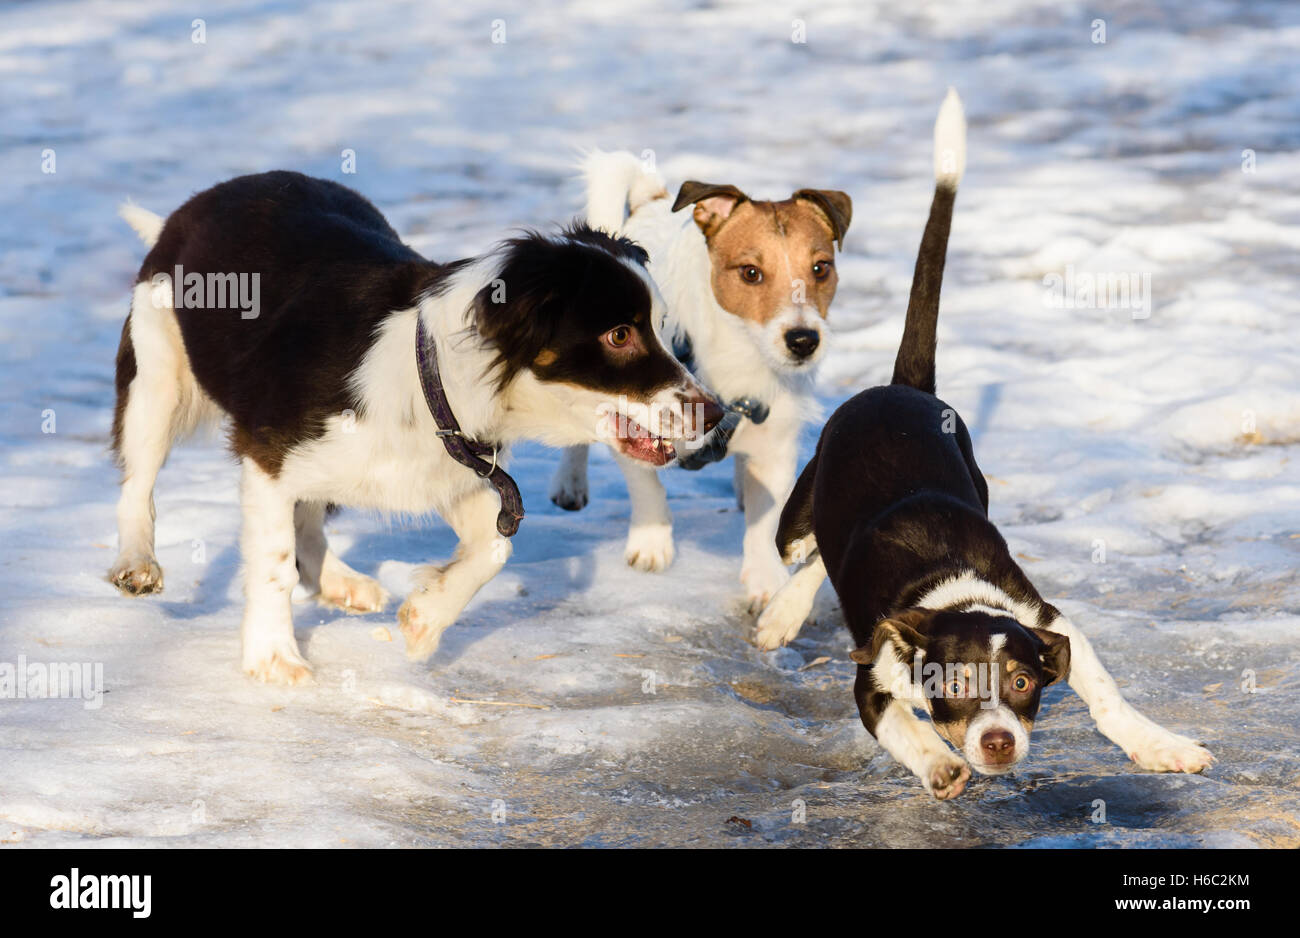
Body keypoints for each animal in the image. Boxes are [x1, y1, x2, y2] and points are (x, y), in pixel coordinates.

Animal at [109, 170, 722, 680]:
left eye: (663, 328)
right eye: (620, 335)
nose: (714, 412)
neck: (435, 376)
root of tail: (193, 206)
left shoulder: (454, 466)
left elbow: (495, 550)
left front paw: (423, 621)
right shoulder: (267, 454)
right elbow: (274, 564)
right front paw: (274, 660)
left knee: (309, 513)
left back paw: (340, 582)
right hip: (156, 377)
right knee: (139, 482)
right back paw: (137, 564)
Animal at [551, 153, 847, 605]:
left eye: (821, 268)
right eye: (750, 272)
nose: (803, 341)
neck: (736, 353)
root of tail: (651, 200)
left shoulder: (775, 438)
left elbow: (765, 518)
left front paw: (765, 582)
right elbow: (646, 484)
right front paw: (652, 546)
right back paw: (570, 480)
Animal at [759, 92, 1211, 795]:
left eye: (1022, 683)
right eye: (953, 684)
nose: (998, 742)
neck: (952, 593)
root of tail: (901, 387)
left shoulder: (1049, 622)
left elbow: (1105, 690)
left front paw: (1159, 744)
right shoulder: (873, 677)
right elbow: (898, 725)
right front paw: (940, 763)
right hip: (799, 514)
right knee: (804, 554)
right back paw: (780, 615)